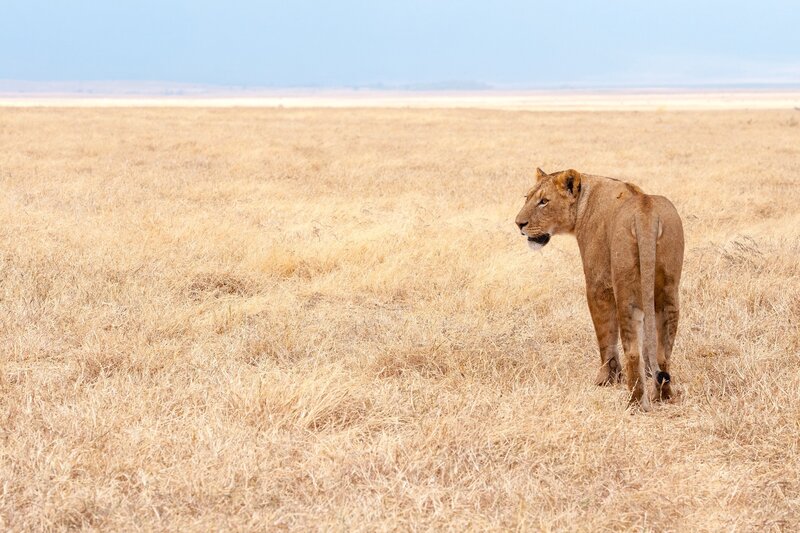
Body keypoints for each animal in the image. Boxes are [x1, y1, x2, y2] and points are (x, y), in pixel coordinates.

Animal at [515, 168, 684, 410]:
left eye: (544, 201)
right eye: (527, 197)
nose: (518, 224)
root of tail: (646, 214)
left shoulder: (598, 284)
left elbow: (605, 335)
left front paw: (606, 379)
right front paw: (648, 375)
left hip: (625, 291)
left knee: (632, 352)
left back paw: (634, 402)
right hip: (669, 290)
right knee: (664, 352)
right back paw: (664, 395)